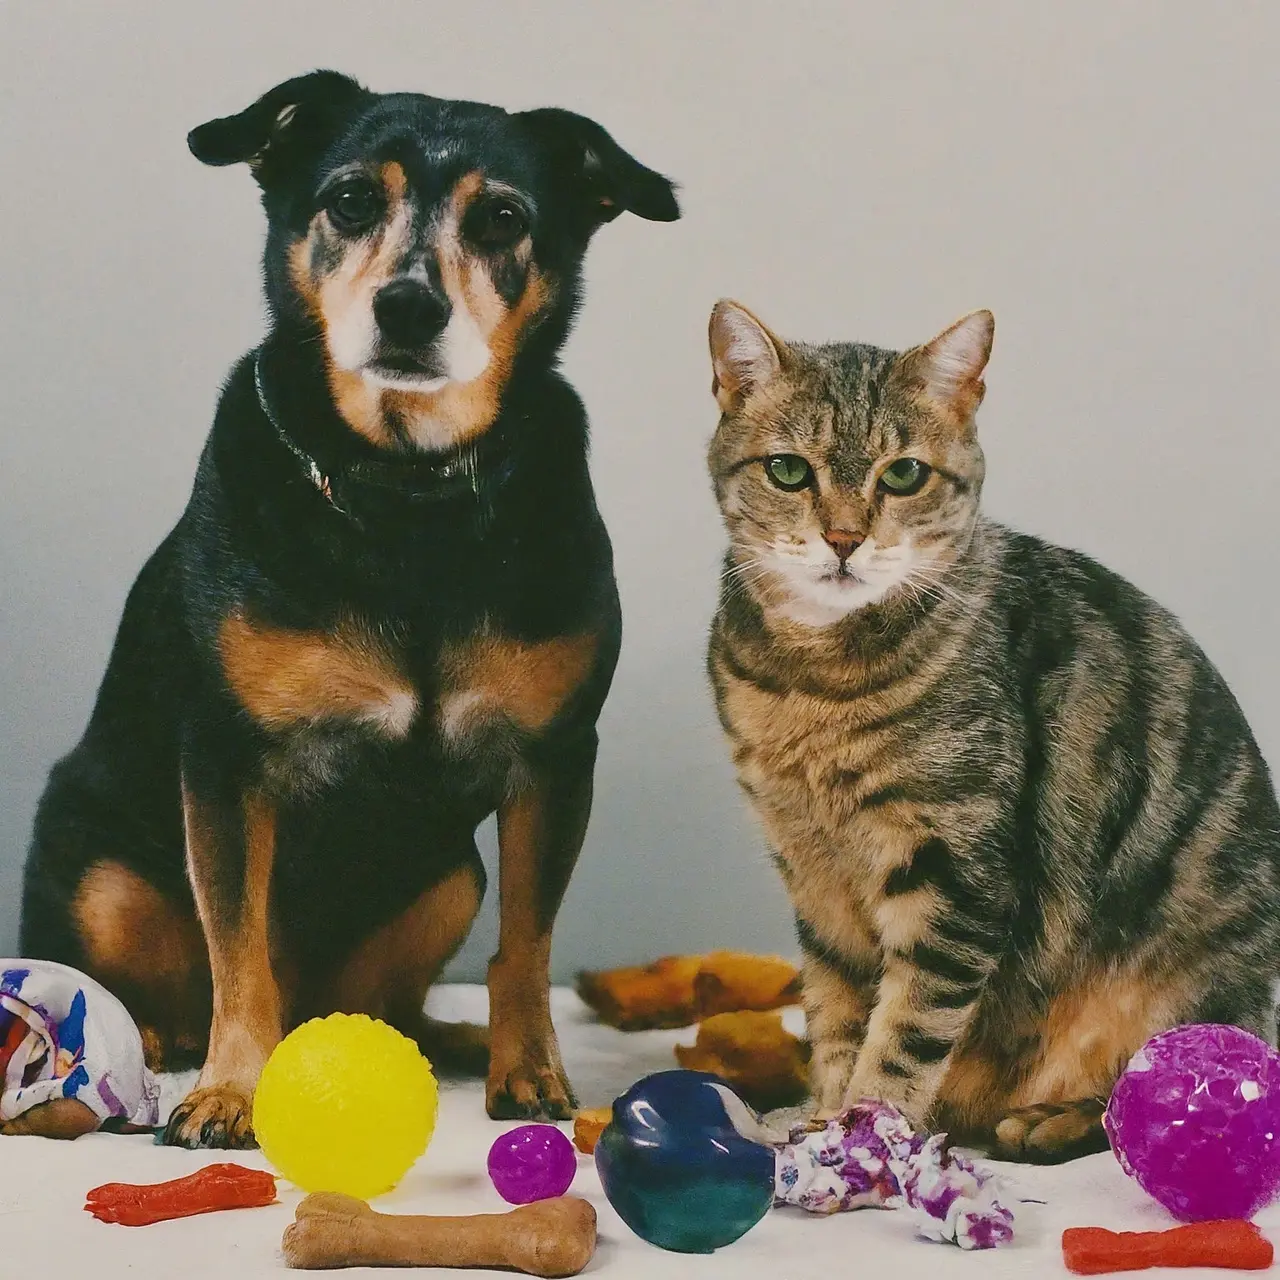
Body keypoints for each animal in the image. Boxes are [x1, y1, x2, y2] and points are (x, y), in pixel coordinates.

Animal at [17, 70, 680, 1152]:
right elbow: (239, 946)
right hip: (100, 877)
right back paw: (158, 1042)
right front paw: (230, 1092)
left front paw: (529, 1068)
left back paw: (441, 1039)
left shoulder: (553, 760)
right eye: (351, 199)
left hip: (450, 876)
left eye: (504, 218)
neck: (406, 497)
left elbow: (528, 944)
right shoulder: (228, 762)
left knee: (388, 996)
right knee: (153, 978)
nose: (407, 305)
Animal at [706, 304, 1274, 1167]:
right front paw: (825, 1119)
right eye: (790, 472)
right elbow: (838, 1016)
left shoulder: (954, 867)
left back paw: (1051, 1121)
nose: (843, 538)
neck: (819, 685)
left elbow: (906, 1030)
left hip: (1194, 986)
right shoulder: (812, 874)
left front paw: (870, 1130)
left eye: (903, 476)